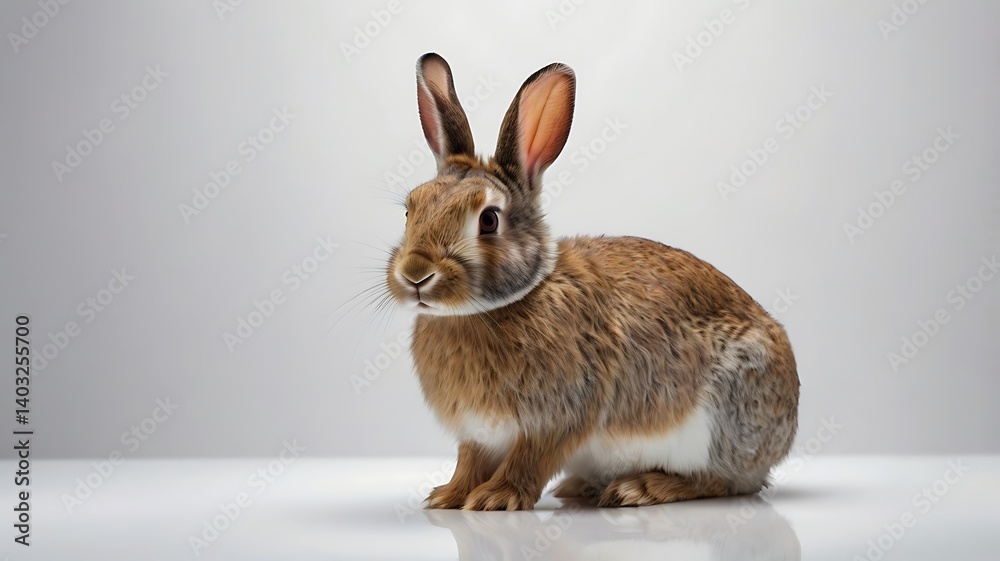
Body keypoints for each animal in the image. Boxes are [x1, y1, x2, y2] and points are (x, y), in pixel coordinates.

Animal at [385, 53, 799, 511]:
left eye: (488, 220)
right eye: (410, 209)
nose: (415, 274)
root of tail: (783, 438)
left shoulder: (558, 417)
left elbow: (530, 460)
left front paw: (497, 498)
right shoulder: (477, 434)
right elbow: (469, 460)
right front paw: (449, 496)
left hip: (724, 414)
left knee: (723, 482)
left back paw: (640, 488)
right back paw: (583, 487)